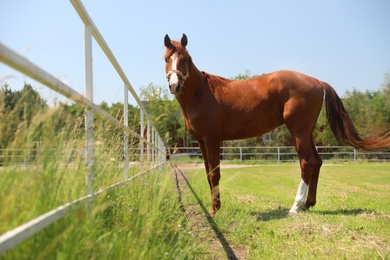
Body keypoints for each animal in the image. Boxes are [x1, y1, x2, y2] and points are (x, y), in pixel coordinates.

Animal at [164, 33, 390, 216]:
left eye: (185, 59)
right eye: (167, 58)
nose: (175, 85)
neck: (202, 94)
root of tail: (316, 81)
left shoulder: (212, 139)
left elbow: (214, 173)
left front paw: (215, 210)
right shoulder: (201, 142)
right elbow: (208, 174)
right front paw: (213, 208)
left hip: (298, 131)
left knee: (307, 162)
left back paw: (295, 206)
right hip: (307, 132)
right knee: (317, 161)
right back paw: (308, 203)